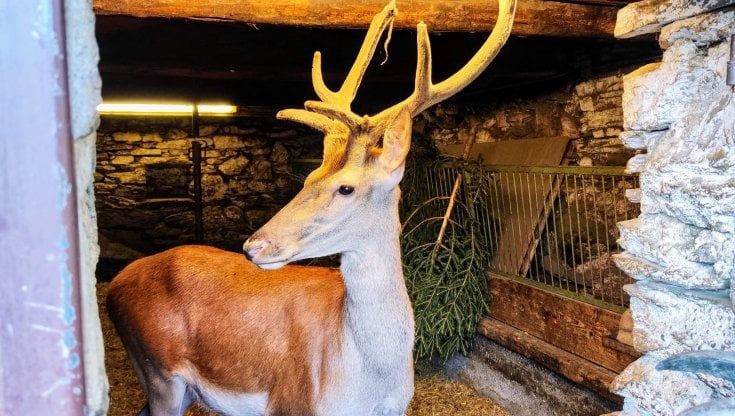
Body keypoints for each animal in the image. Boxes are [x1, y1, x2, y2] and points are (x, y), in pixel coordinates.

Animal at [106, 1, 516, 415]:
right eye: (309, 177)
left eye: (346, 187)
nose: (254, 246)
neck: (370, 386)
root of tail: (115, 285)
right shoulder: (291, 402)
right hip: (159, 373)